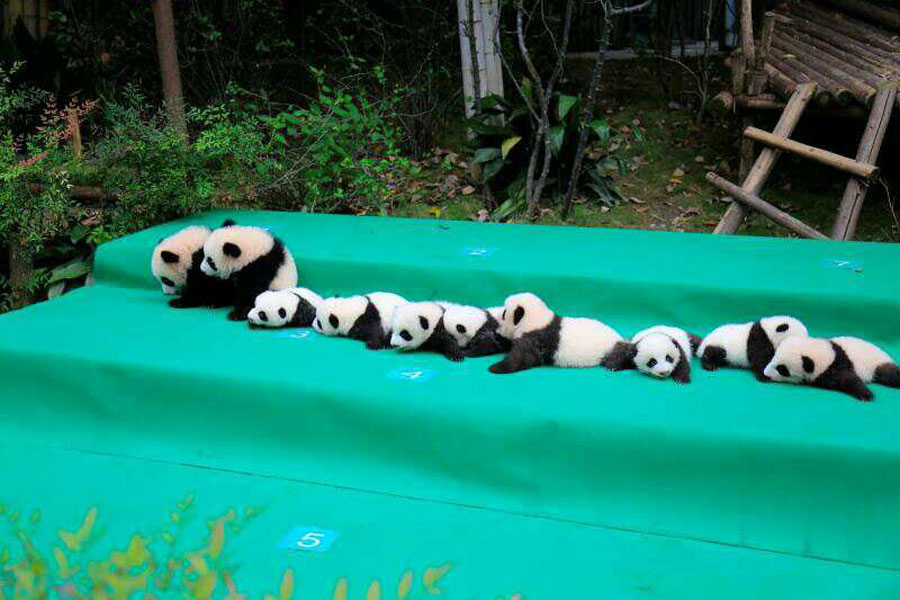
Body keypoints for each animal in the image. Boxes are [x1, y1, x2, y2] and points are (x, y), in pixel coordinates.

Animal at [488, 292, 623, 374]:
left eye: (504, 313)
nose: (497, 327)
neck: (537, 321)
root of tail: (617, 337)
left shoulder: (536, 338)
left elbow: (524, 357)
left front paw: (496, 367)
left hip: (609, 348)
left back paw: (614, 365)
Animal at [763, 335, 900, 401]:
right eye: (773, 358)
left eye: (782, 370)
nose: (766, 374)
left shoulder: (835, 365)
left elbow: (848, 379)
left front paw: (866, 395)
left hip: (878, 364)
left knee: (891, 375)